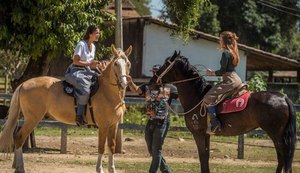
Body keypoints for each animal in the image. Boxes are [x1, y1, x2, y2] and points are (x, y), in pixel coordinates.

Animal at [0, 45, 132, 173]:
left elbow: (111, 146)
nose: (124, 83)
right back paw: (20, 168)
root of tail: (24, 84)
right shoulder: (103, 125)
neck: (107, 92)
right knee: (19, 138)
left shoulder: (113, 125)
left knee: (17, 137)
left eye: (128, 63)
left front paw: (112, 169)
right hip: (32, 120)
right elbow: (101, 147)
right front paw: (99, 169)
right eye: (116, 64)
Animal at [151, 51, 296, 173]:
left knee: (283, 158)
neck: (198, 97)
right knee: (282, 159)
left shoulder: (198, 133)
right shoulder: (206, 134)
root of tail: (283, 97)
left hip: (276, 135)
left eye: (166, 64)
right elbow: (206, 156)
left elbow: (202, 156)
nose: (152, 81)